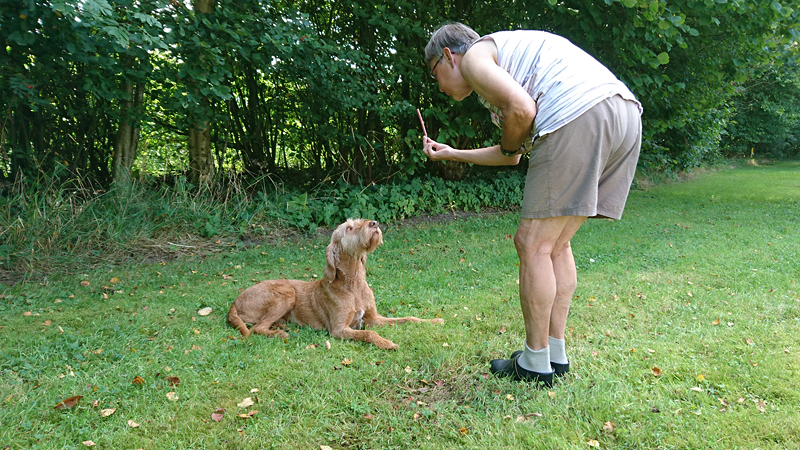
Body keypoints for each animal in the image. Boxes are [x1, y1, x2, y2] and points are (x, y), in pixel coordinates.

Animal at [228, 218, 444, 349]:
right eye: (348, 228)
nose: (374, 223)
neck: (354, 285)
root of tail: (234, 302)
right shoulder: (339, 330)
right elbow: (369, 333)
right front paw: (386, 343)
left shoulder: (373, 318)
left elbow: (408, 318)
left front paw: (433, 321)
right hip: (286, 293)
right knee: (256, 328)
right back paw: (280, 334)